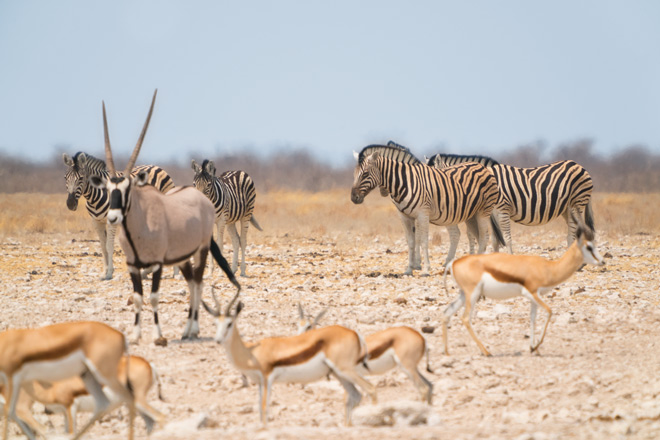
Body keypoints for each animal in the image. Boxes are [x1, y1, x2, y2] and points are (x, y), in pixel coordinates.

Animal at [62, 151, 174, 280]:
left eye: (81, 178)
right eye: (65, 178)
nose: (70, 204)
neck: (96, 196)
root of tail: (156, 166)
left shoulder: (112, 221)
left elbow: (109, 246)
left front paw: (109, 273)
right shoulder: (97, 222)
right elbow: (103, 247)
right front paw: (104, 272)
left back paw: (174, 273)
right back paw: (147, 271)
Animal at [354, 144, 502, 276]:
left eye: (365, 174)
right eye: (354, 175)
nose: (353, 197)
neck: (406, 182)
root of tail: (483, 167)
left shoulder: (422, 214)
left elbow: (423, 240)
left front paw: (423, 268)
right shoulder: (406, 216)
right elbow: (412, 241)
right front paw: (411, 268)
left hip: (482, 211)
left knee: (483, 237)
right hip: (469, 215)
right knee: (472, 236)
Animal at [426, 154, 596, 251]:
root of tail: (579, 165)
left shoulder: (502, 209)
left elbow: (506, 238)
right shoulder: (492, 214)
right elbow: (495, 240)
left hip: (577, 203)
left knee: (576, 231)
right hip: (566, 209)